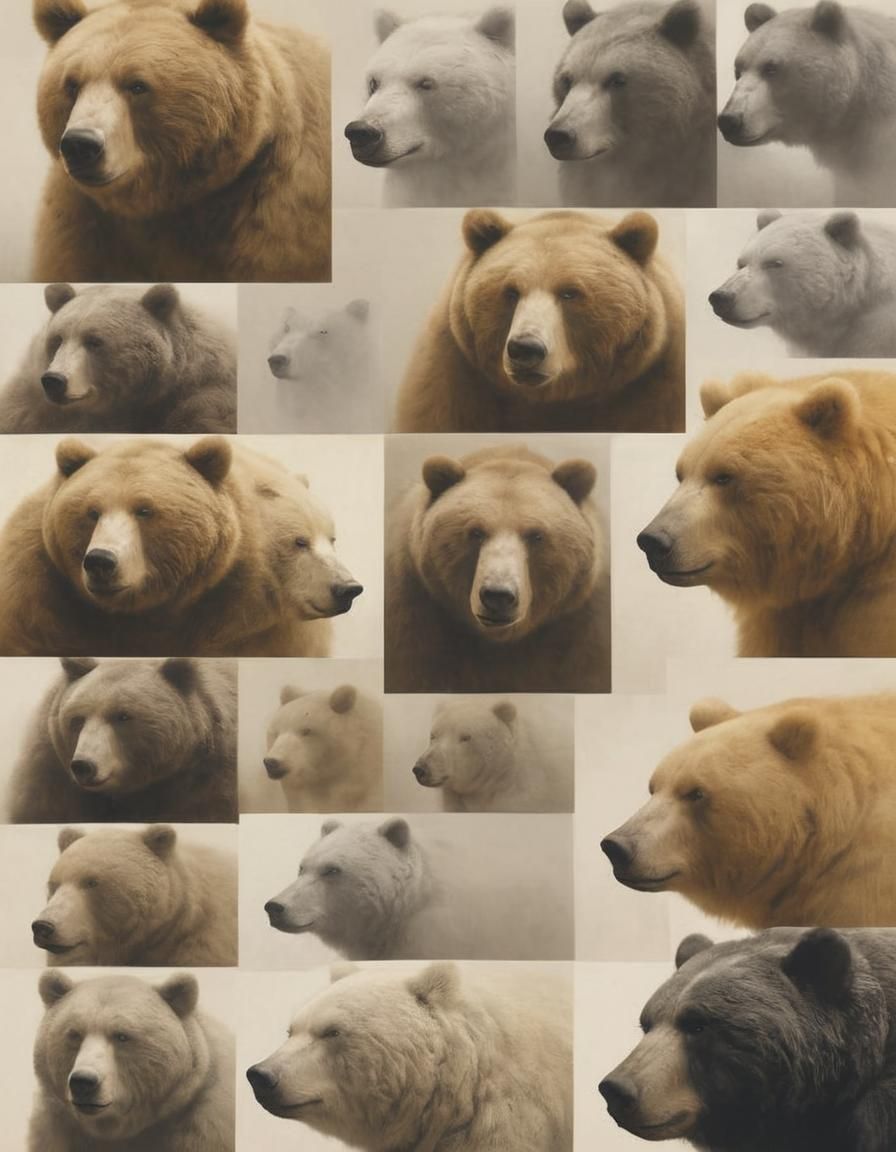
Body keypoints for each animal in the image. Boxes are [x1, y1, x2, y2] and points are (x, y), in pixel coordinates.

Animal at [385, 444, 610, 692]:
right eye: (476, 532)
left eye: (536, 535)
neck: (500, 641)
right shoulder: (412, 618)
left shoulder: (584, 632)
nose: (497, 595)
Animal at [393, 210, 685, 433]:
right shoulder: (452, 379)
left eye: (570, 292)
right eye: (511, 291)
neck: (554, 400)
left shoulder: (657, 390)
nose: (525, 348)